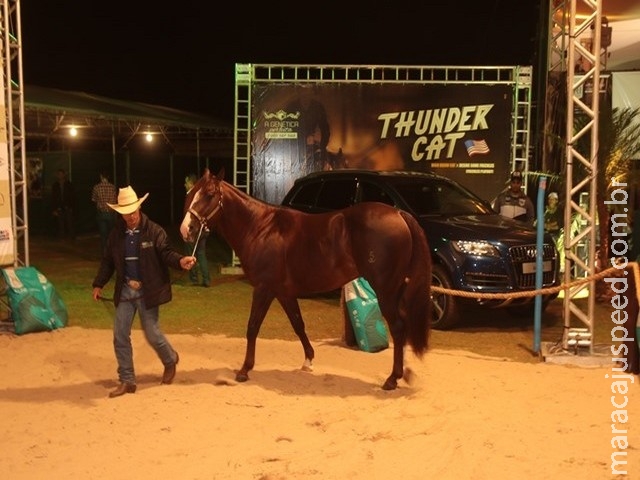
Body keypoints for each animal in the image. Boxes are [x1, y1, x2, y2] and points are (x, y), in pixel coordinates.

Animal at [178, 169, 432, 390]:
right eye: (191, 193)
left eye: (210, 194)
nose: (186, 230)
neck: (261, 228)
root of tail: (399, 213)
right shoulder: (284, 292)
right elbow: (298, 324)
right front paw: (308, 360)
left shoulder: (263, 289)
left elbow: (252, 327)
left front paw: (244, 370)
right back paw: (405, 373)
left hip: (386, 290)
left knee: (398, 327)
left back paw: (392, 379)